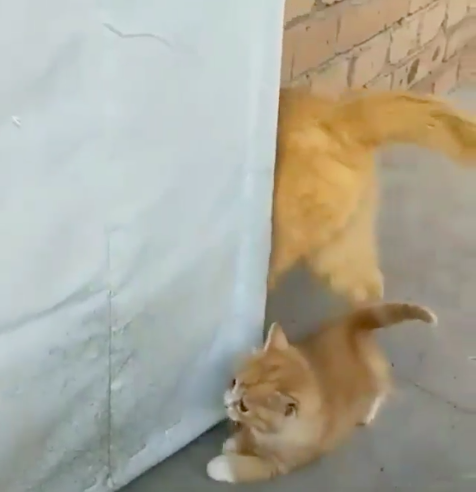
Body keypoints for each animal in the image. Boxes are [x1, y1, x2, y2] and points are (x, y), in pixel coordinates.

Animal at [207, 302, 437, 483]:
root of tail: (351, 325)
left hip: (375, 377)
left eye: (244, 406)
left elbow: (247, 468)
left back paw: (367, 413)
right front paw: (235, 443)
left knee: (381, 389)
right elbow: (247, 436)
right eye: (233, 382)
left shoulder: (280, 464)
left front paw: (221, 465)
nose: (225, 403)